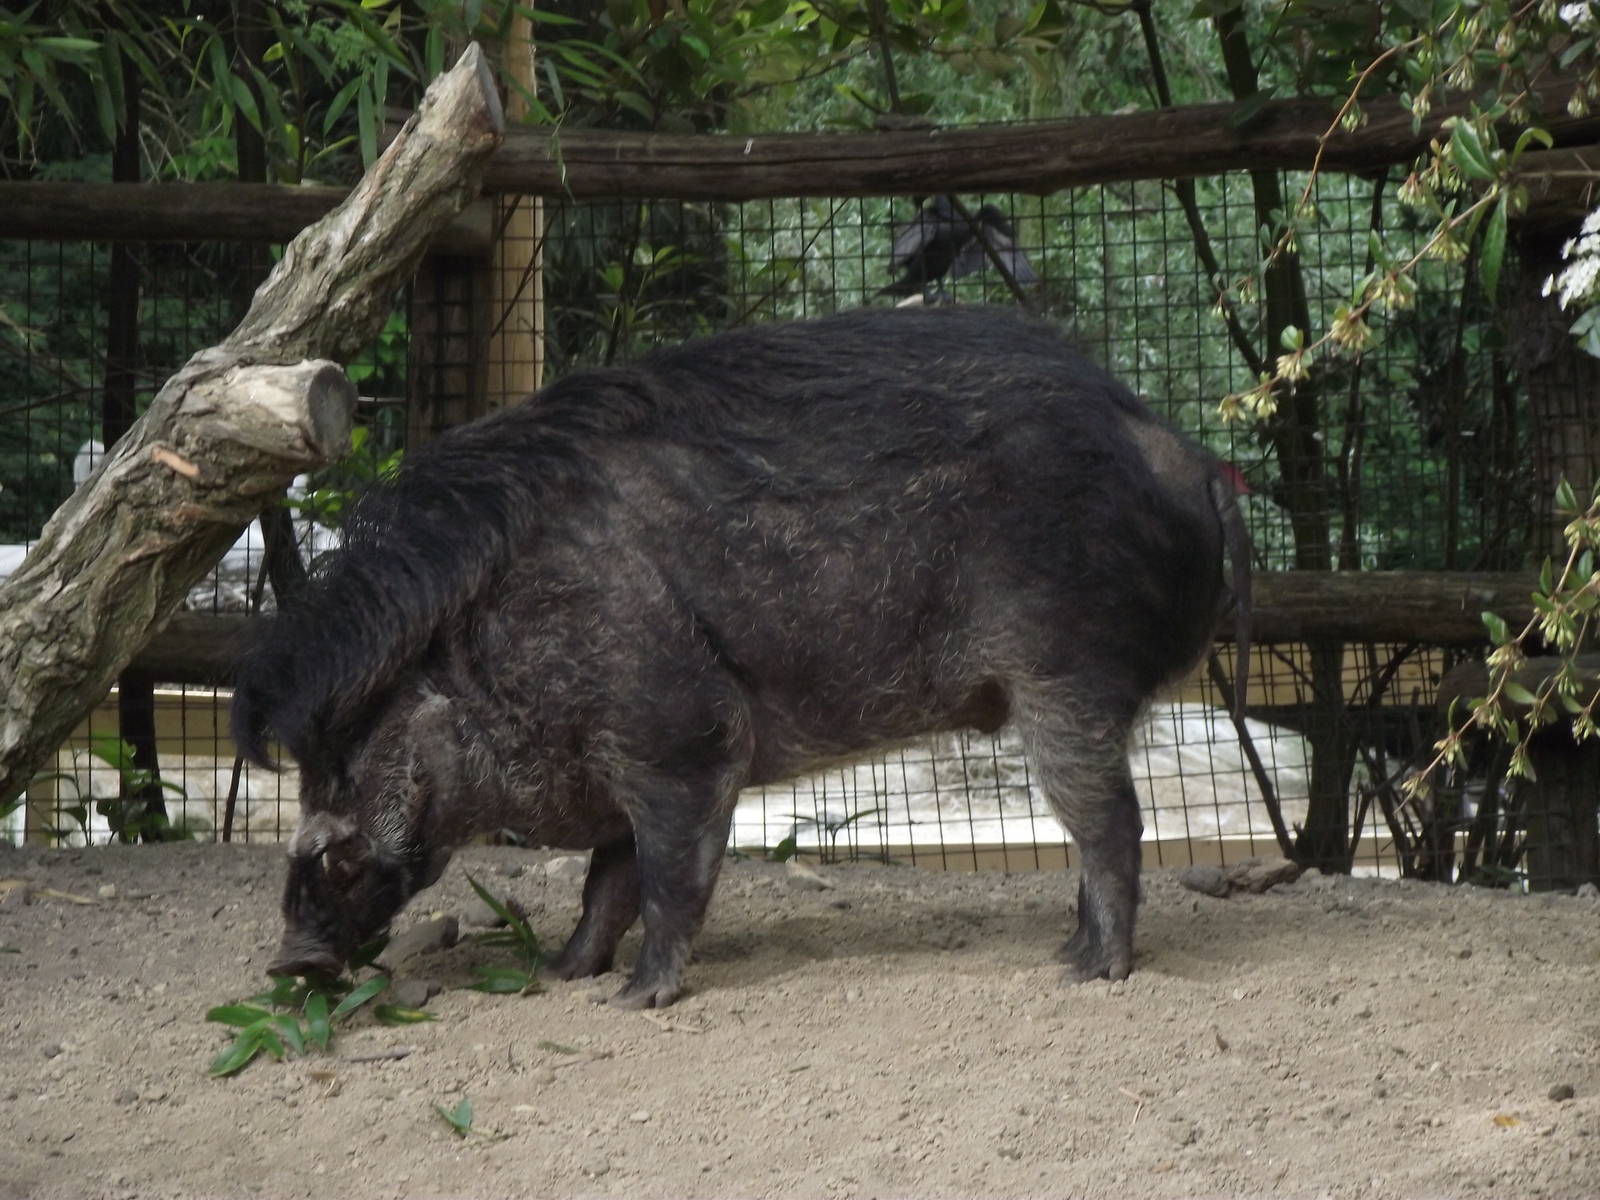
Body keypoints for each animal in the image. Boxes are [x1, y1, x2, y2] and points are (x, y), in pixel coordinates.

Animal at [231, 304, 1250, 1009]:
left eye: (355, 753)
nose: (289, 963)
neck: (494, 648)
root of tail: (1190, 456)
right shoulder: (621, 768)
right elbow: (608, 884)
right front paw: (563, 975)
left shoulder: (683, 734)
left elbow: (669, 878)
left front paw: (637, 1000)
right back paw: (1064, 954)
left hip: (1065, 673)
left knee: (1111, 823)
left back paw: (1089, 973)